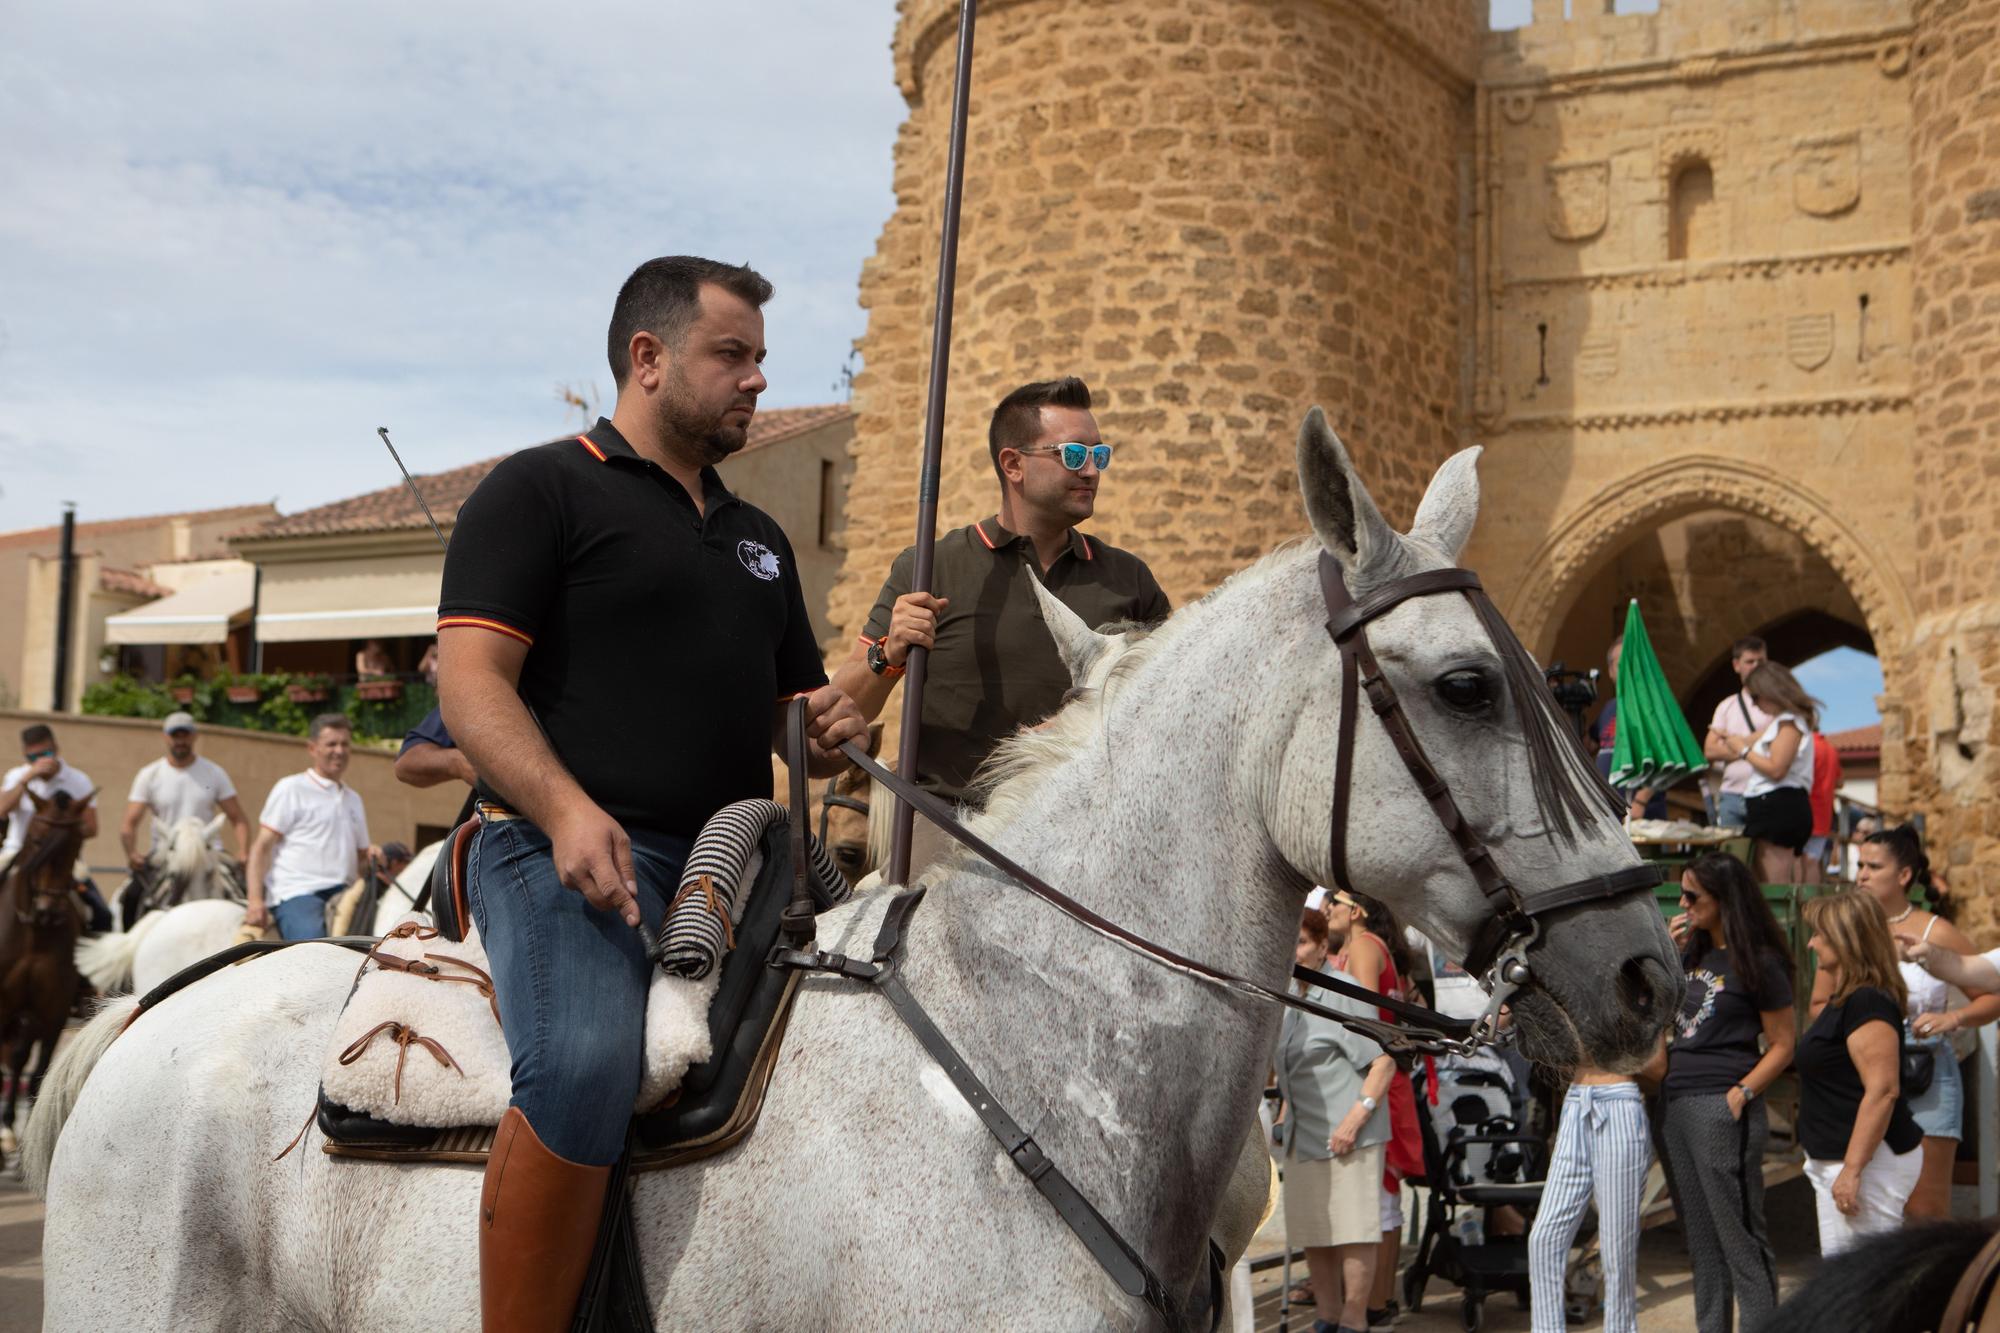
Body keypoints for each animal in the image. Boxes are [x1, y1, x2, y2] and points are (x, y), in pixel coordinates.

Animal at [0, 788, 94, 1144]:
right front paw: (7, 1127)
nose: (47, 911)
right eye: (37, 840)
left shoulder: (53, 1009)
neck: (34, 935)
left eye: (75, 845)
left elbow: (38, 1068)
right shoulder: (5, 1006)